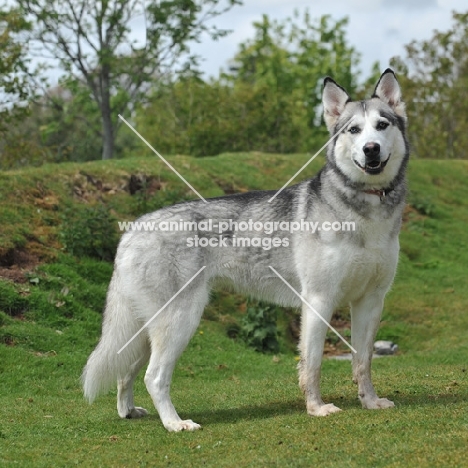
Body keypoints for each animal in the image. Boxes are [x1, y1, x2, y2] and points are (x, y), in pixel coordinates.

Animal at [82, 68, 408, 432]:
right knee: (154, 377)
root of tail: (132, 230)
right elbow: (312, 365)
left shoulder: (370, 301)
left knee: (125, 372)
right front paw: (316, 408)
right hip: (179, 321)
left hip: (143, 332)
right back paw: (175, 424)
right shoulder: (319, 301)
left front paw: (370, 402)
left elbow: (363, 361)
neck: (365, 211)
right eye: (354, 130)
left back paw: (128, 411)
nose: (371, 149)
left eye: (382, 125)